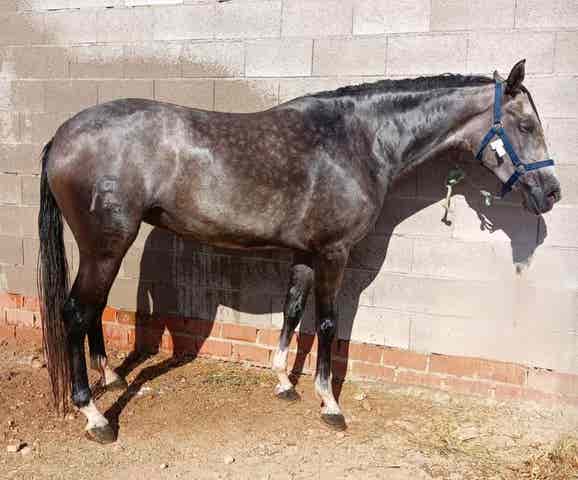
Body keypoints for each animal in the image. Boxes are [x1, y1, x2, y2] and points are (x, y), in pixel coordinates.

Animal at [38, 59, 561, 443]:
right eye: (525, 124)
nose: (552, 193)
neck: (357, 141)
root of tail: (61, 135)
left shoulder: (306, 255)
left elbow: (292, 310)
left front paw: (284, 382)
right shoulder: (334, 254)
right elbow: (327, 323)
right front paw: (329, 403)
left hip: (104, 250)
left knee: (93, 308)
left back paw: (112, 378)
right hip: (106, 248)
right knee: (77, 312)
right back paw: (95, 415)